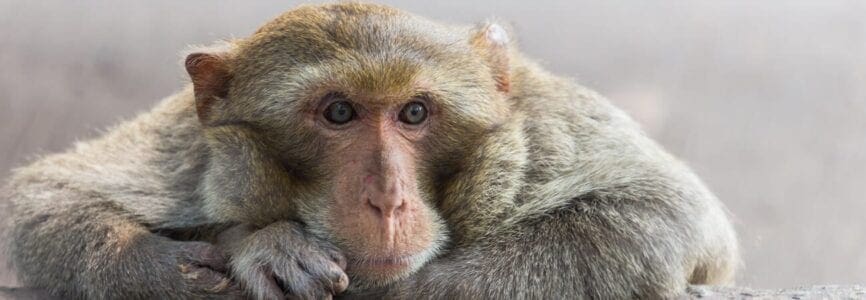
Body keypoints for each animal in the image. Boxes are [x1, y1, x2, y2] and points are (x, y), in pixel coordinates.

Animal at [3, 2, 740, 300]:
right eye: (338, 112)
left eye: (415, 112)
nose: (387, 199)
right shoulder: (189, 148)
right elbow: (43, 197)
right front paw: (251, 246)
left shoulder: (543, 131)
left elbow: (667, 212)